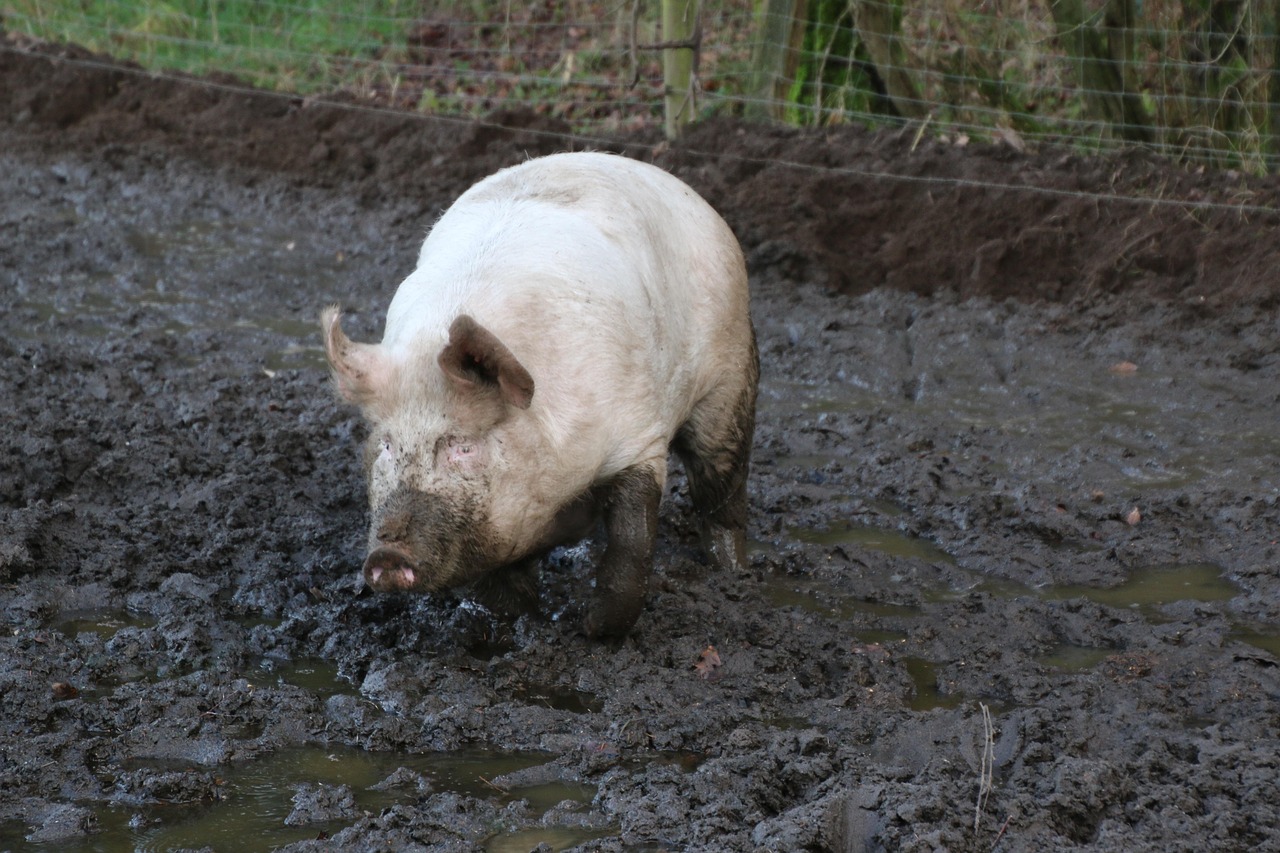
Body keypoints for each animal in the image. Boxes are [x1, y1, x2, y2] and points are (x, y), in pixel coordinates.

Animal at [325, 149, 752, 635]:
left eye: (462, 446)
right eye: (388, 446)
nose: (386, 555)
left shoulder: (638, 436)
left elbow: (632, 538)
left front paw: (592, 629)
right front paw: (520, 621)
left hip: (730, 370)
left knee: (720, 479)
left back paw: (731, 574)